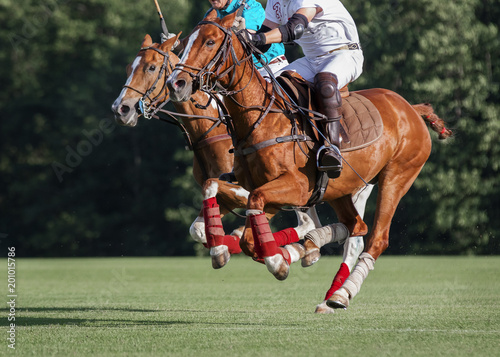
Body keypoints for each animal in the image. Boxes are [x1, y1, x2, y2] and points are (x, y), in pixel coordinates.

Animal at [166, 11, 452, 308]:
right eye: (186, 41)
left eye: (210, 41)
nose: (175, 84)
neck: (260, 119)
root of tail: (411, 108)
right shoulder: (262, 189)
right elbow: (233, 215)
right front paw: (273, 256)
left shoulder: (297, 187)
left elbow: (254, 210)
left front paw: (276, 260)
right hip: (341, 188)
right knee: (355, 226)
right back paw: (317, 252)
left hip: (396, 177)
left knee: (376, 238)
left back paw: (340, 293)